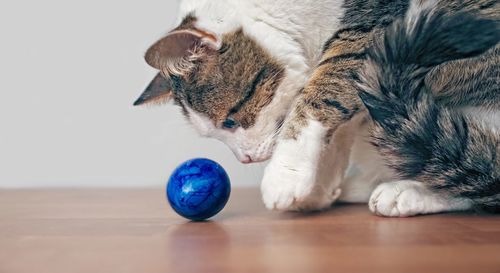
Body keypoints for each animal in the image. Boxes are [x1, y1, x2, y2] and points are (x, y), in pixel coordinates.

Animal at [134, 0, 500, 217]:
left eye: (229, 122)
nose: (246, 160)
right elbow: (338, 128)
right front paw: (315, 189)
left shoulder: (372, 30)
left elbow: (318, 97)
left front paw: (285, 176)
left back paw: (406, 191)